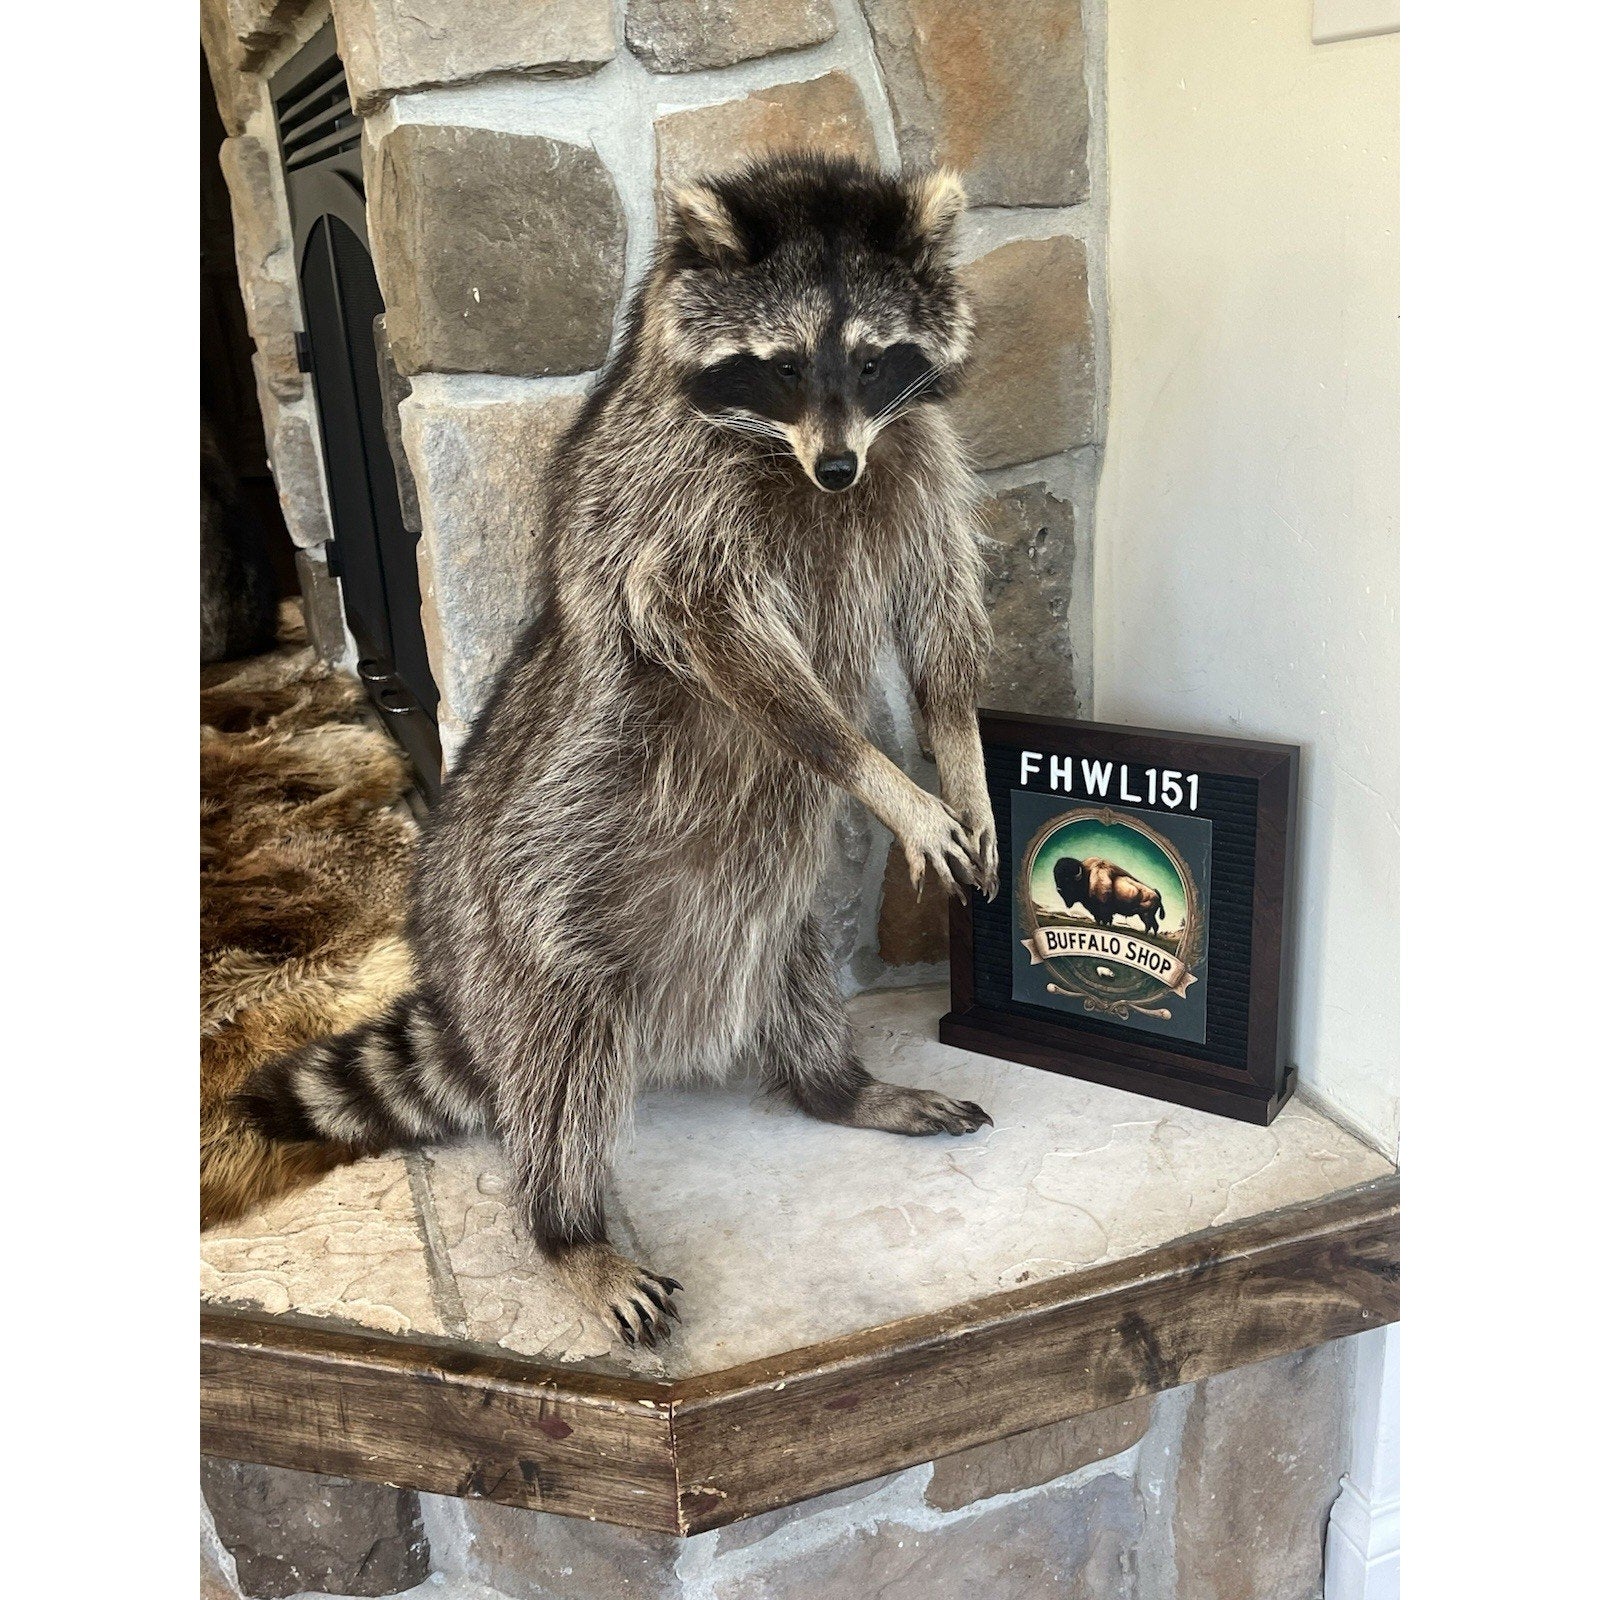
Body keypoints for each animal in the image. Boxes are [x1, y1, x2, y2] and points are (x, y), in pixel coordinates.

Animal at [233, 153, 1000, 1347]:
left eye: (875, 358)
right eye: (783, 365)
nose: (835, 468)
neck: (791, 456)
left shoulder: (915, 463)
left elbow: (939, 632)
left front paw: (959, 765)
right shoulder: (670, 501)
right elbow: (726, 644)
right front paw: (874, 773)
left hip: (765, 904)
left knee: (795, 971)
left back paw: (837, 1083)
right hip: (534, 897)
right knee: (560, 1058)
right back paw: (569, 1228)